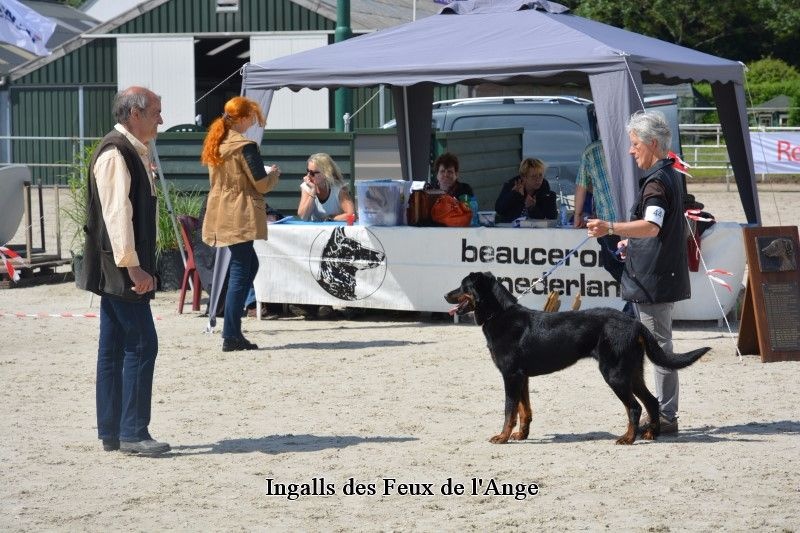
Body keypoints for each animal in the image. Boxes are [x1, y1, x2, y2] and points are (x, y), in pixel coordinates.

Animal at [444, 272, 710, 445]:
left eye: (463, 286)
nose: (446, 294)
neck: (499, 315)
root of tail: (634, 323)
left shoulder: (510, 376)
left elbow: (509, 410)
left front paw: (502, 437)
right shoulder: (522, 377)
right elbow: (524, 410)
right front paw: (521, 435)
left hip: (614, 374)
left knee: (634, 407)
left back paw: (627, 438)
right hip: (632, 372)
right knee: (651, 401)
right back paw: (651, 435)